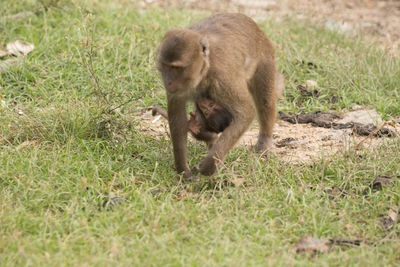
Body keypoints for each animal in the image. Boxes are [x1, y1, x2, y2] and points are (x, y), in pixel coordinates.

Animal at [156, 13, 282, 179]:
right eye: (165, 66)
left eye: (176, 68)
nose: (168, 81)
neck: (205, 68)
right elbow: (178, 119)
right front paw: (183, 170)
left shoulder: (223, 78)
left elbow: (245, 113)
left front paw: (210, 165)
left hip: (265, 57)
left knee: (265, 101)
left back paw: (264, 142)